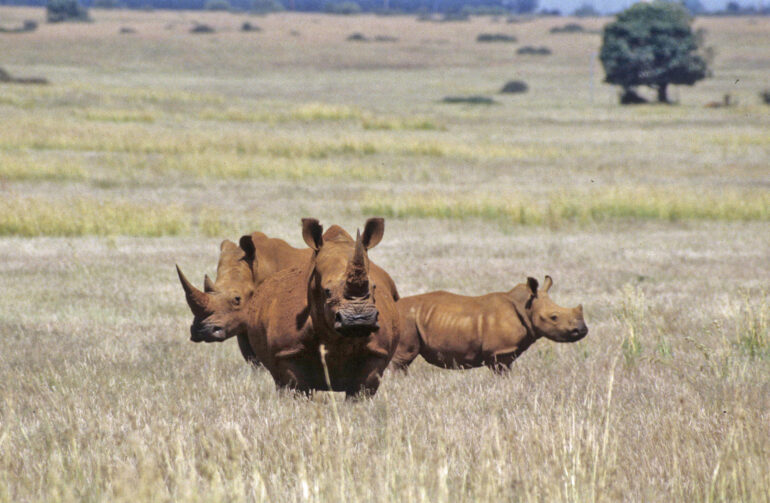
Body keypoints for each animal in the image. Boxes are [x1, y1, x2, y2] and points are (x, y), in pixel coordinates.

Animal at [390, 276, 588, 372]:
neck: (526, 306)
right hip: (406, 318)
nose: (582, 330)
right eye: (554, 317)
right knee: (402, 359)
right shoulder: (500, 352)